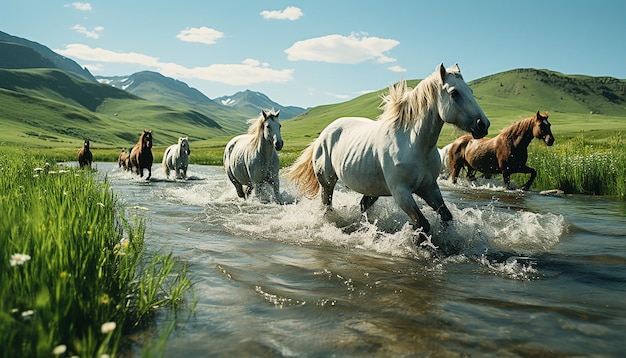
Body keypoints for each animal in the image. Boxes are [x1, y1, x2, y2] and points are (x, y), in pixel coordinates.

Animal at [286, 64, 488, 235]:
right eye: (454, 93)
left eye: (470, 91)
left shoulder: (429, 187)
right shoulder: (401, 192)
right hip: (327, 182)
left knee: (362, 206)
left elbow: (446, 216)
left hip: (372, 188)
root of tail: (324, 134)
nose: (483, 124)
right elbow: (422, 224)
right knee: (326, 207)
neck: (414, 145)